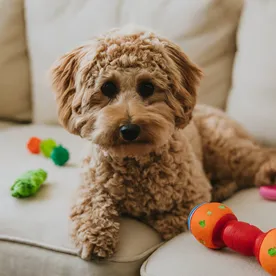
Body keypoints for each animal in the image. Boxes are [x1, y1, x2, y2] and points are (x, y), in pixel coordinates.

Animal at [50, 26, 276, 260]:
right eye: (107, 88)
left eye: (147, 87)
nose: (129, 129)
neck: (134, 159)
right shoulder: (90, 188)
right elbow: (89, 207)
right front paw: (96, 237)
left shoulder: (193, 198)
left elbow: (167, 221)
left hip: (224, 148)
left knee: (259, 157)